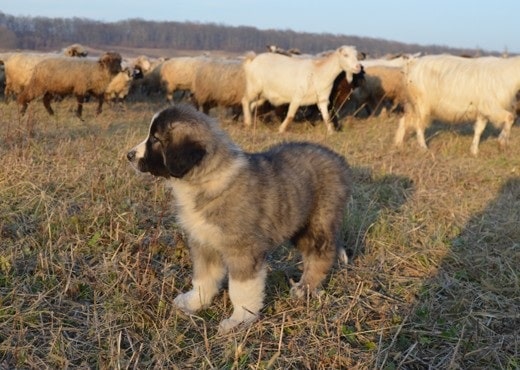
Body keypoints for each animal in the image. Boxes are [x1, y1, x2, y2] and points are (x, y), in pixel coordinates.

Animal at [127, 103, 354, 332]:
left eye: (155, 139)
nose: (129, 155)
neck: (205, 180)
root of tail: (339, 161)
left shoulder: (243, 249)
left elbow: (241, 288)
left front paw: (239, 319)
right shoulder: (204, 242)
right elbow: (204, 277)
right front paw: (194, 302)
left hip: (315, 222)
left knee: (321, 255)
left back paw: (304, 288)